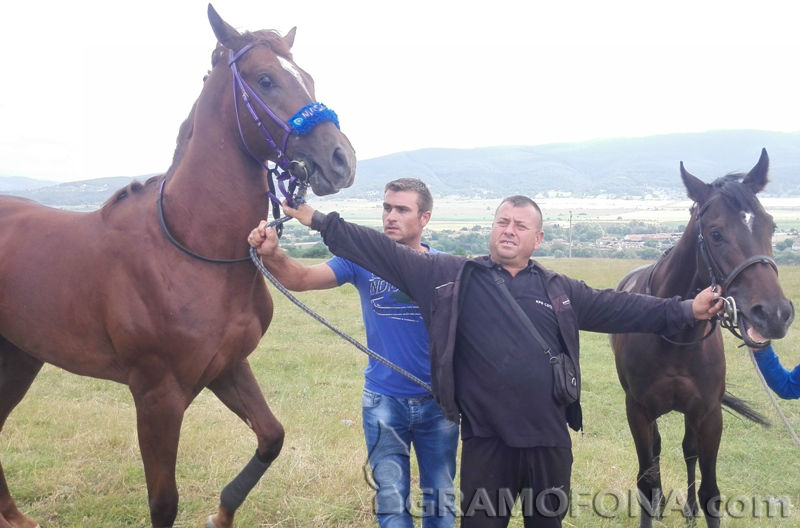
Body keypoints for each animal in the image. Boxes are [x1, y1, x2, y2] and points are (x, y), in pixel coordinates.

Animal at [0, 5, 356, 528]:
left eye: (307, 77)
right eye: (265, 79)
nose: (341, 159)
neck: (191, 250)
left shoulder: (227, 367)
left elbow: (271, 436)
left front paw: (222, 513)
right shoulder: (158, 397)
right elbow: (163, 502)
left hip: (20, 355)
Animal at [612, 150, 792, 528]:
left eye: (770, 225)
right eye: (716, 233)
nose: (774, 314)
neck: (675, 331)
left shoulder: (709, 413)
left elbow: (710, 491)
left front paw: (698, 506)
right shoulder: (637, 410)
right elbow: (646, 481)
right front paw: (655, 501)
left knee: (687, 450)